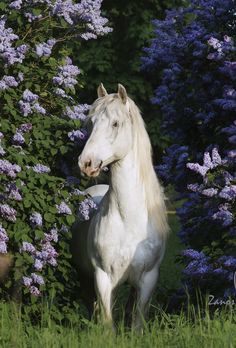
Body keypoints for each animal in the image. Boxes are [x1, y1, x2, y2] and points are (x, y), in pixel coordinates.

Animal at [71, 83, 169, 330]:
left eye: (115, 123)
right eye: (91, 123)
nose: (86, 164)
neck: (129, 220)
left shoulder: (147, 280)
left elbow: (137, 323)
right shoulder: (103, 278)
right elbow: (107, 324)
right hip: (84, 278)